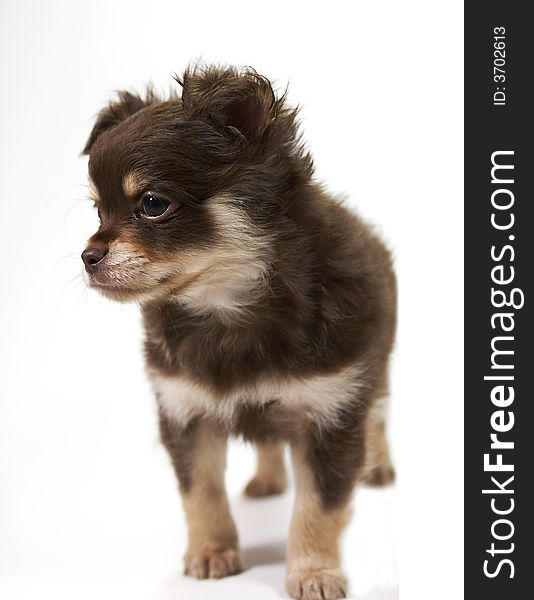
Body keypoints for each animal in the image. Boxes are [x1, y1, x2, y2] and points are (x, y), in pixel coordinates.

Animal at [80, 63, 398, 596]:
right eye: (98, 211)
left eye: (152, 203)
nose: (87, 255)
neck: (226, 310)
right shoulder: (185, 412)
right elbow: (201, 492)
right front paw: (212, 552)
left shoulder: (331, 411)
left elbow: (320, 506)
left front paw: (313, 571)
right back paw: (267, 481)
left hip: (377, 367)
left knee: (377, 414)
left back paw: (379, 465)